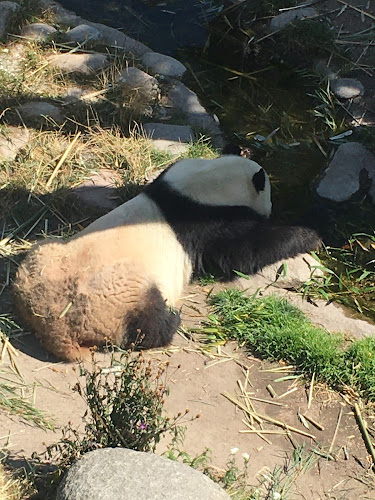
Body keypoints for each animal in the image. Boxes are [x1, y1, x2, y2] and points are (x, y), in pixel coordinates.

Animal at [13, 155, 322, 360]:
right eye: (270, 195)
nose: (271, 209)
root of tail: (55, 325)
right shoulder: (207, 221)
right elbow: (239, 253)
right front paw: (310, 235)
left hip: (45, 256)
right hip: (121, 298)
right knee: (149, 325)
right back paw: (170, 320)